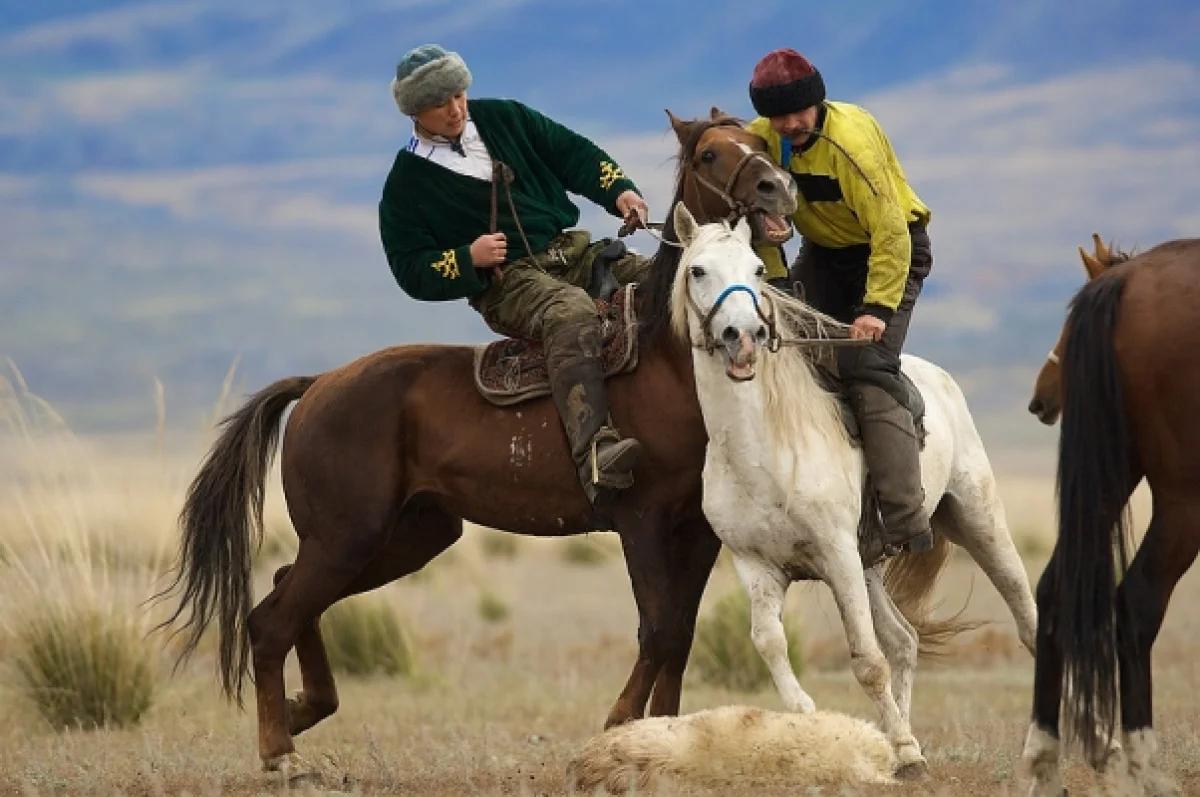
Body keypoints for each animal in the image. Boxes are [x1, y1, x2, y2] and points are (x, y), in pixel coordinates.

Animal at [672, 202, 1036, 782]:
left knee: (1027, 619)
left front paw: (903, 752)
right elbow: (769, 643)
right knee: (905, 640)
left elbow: (867, 661)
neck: (762, 450)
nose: (742, 335)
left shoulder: (837, 555)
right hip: (869, 566)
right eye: (697, 271)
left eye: (757, 270)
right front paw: (822, 723)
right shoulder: (757, 566)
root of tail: (937, 377)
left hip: (979, 525)